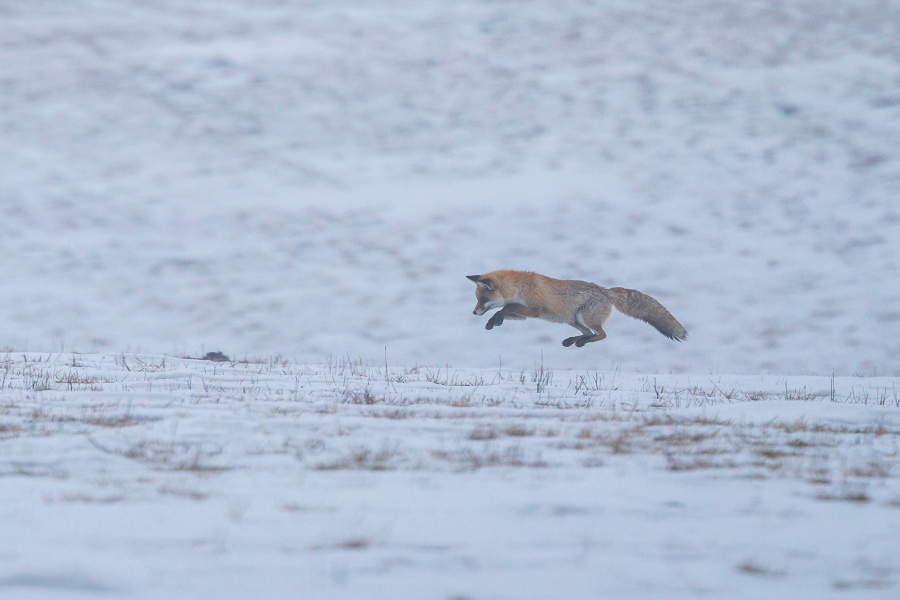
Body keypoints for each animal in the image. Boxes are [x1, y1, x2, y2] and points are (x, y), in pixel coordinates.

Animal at [468, 270, 684, 350]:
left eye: (482, 299)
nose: (474, 313)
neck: (519, 287)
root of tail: (606, 291)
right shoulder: (524, 314)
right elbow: (506, 310)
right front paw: (494, 322)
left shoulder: (535, 309)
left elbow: (505, 307)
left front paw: (494, 320)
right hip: (575, 321)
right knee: (591, 334)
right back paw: (574, 341)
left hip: (585, 318)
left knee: (602, 335)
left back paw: (578, 341)